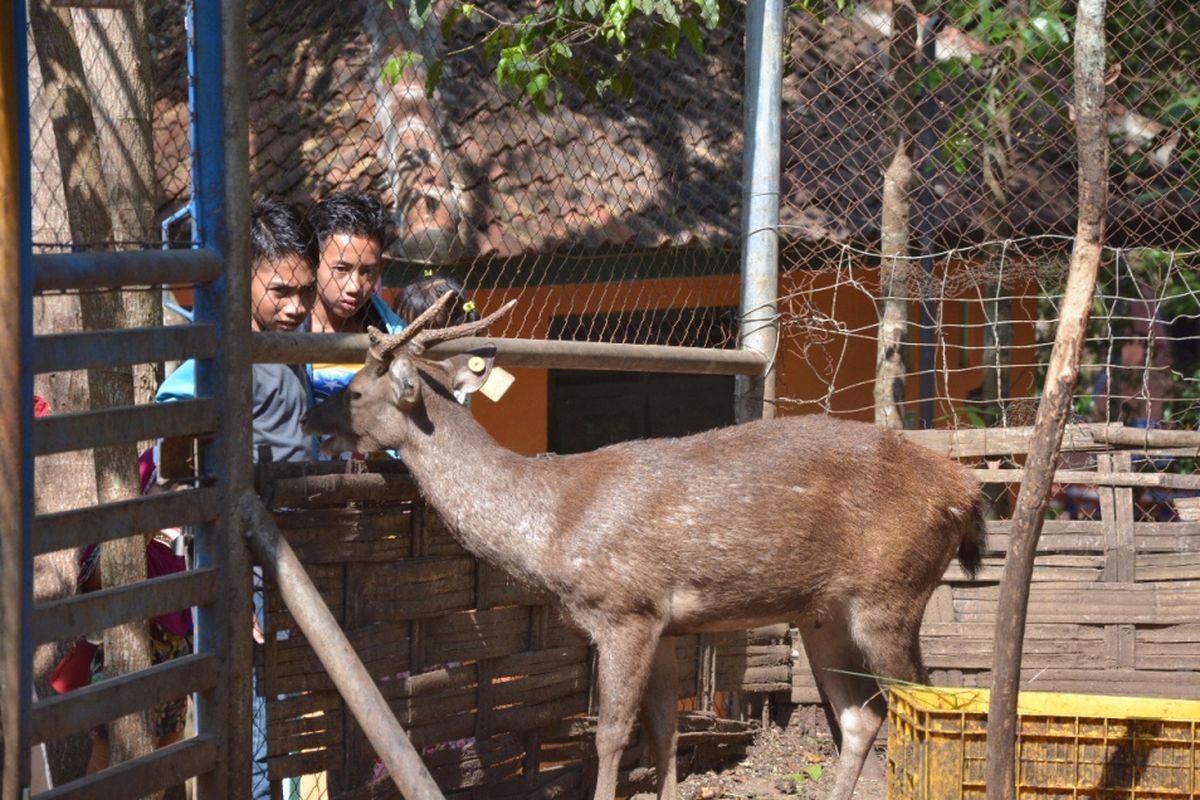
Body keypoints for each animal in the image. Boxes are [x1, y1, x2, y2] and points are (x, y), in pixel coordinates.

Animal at [300, 292, 984, 800]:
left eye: (355, 390)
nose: (311, 416)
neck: (550, 526)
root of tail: (964, 491)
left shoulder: (623, 609)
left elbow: (610, 733)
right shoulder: (664, 621)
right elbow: (664, 732)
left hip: (891, 592)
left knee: (927, 705)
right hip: (824, 613)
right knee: (861, 715)